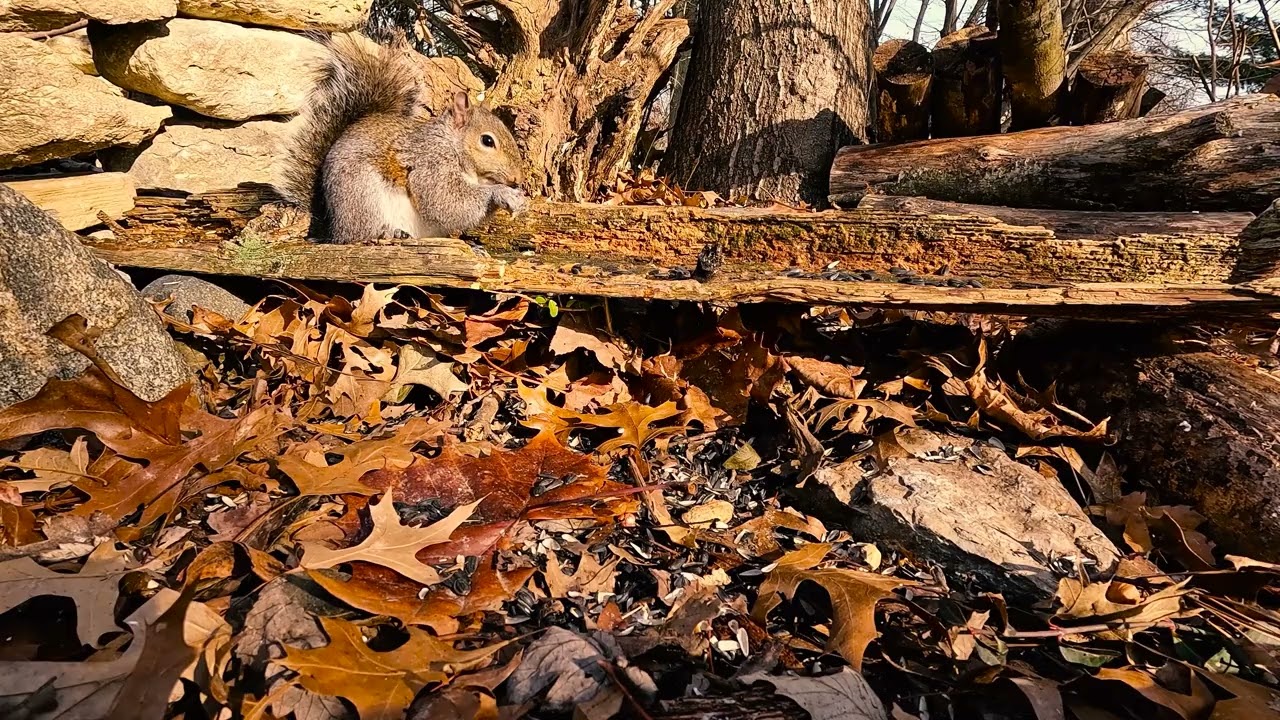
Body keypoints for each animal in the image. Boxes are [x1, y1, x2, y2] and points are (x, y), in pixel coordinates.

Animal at [282, 33, 527, 244]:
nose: (517, 179)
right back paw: (386, 232)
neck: (450, 143)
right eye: (487, 141)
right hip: (362, 196)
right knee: (358, 234)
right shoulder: (430, 162)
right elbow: (445, 201)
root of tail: (332, 227)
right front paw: (502, 193)